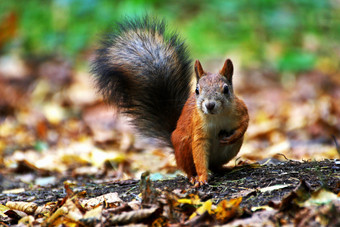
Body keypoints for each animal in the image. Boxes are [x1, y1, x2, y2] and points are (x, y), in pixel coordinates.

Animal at [91, 16, 248, 186]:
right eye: (197, 90)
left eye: (226, 89)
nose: (210, 105)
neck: (218, 116)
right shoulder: (198, 128)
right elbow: (199, 151)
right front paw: (202, 178)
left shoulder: (240, 109)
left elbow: (245, 123)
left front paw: (233, 135)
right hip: (183, 145)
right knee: (189, 168)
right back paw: (194, 176)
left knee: (215, 166)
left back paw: (227, 167)